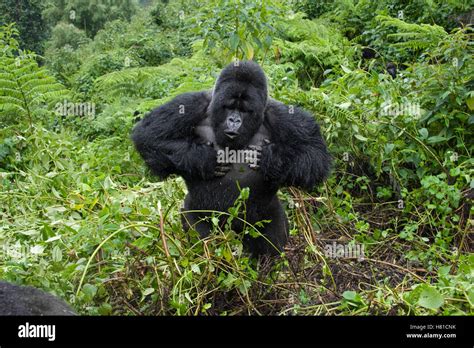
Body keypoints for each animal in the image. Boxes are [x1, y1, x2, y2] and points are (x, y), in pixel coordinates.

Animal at [131, 59, 330, 256]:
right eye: (229, 107)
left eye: (244, 110)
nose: (234, 121)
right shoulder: (191, 103)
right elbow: (148, 135)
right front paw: (204, 159)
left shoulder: (282, 114)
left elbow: (315, 155)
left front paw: (270, 159)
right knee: (202, 239)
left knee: (271, 243)